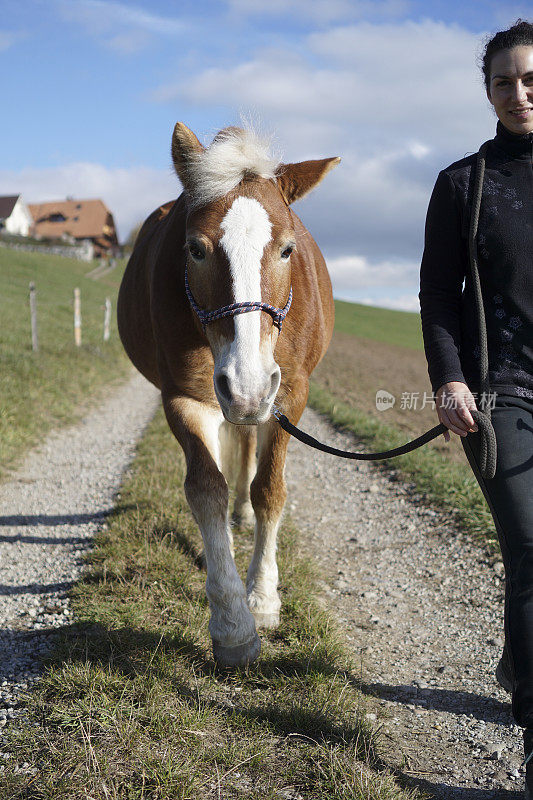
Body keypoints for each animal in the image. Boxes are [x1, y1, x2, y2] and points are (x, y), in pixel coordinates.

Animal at [119, 122, 338, 664]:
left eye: (286, 249)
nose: (247, 385)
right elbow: (206, 488)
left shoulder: (289, 395)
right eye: (196, 249)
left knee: (247, 446)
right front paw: (233, 621)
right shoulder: (184, 397)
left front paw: (262, 596)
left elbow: (269, 489)